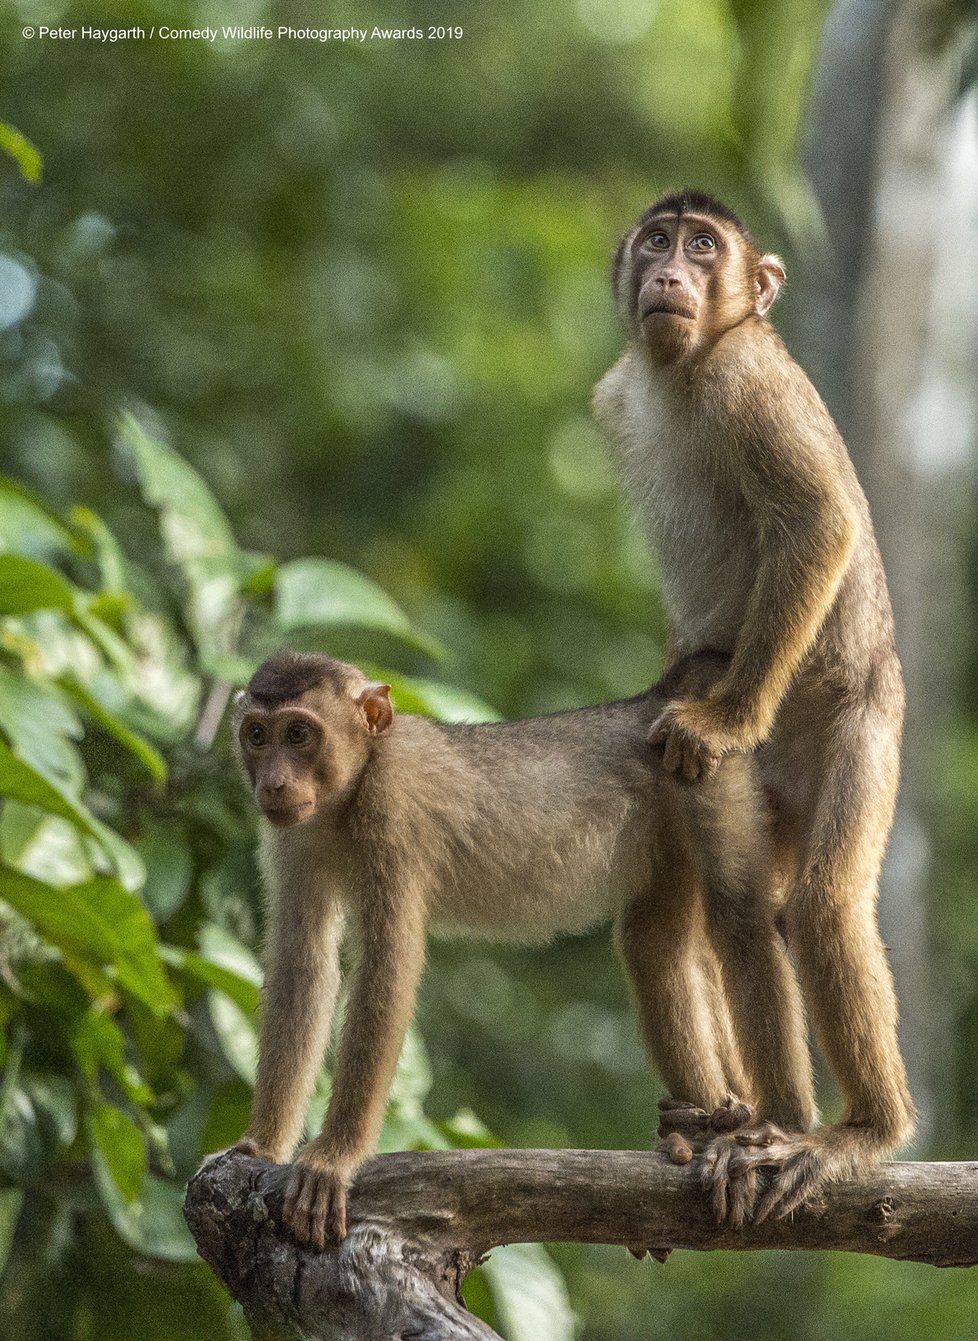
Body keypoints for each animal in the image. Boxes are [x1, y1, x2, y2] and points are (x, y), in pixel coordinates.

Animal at [229, 646, 810, 1244]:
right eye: (258, 735)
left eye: (300, 733)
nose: (272, 782)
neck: (352, 787)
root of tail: (655, 704)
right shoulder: (293, 835)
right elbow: (303, 962)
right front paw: (262, 1145)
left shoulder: (393, 813)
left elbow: (388, 966)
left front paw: (334, 1157)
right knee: (656, 948)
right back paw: (708, 1125)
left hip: (711, 777)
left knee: (740, 922)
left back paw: (773, 1130)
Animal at [587, 189, 917, 1228]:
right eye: (659, 240)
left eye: (705, 246)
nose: (671, 275)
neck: (681, 374)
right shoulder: (616, 395)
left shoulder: (748, 380)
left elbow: (817, 521)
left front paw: (725, 717)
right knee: (715, 916)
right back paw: (725, 1117)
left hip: (862, 726)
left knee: (818, 904)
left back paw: (855, 1133)